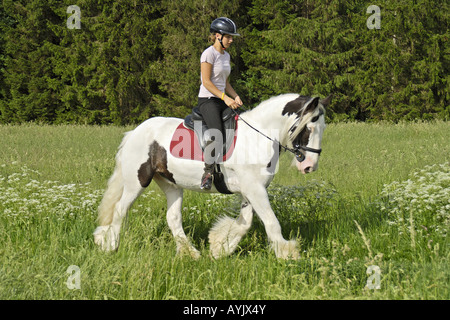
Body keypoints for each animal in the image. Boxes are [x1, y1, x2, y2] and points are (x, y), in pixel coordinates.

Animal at [94, 94, 330, 258]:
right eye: (309, 127)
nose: (309, 166)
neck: (257, 136)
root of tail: (135, 132)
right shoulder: (255, 189)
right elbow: (271, 222)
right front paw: (287, 254)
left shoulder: (251, 190)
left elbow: (245, 222)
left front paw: (219, 247)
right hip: (137, 181)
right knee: (120, 209)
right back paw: (110, 245)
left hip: (171, 184)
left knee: (173, 218)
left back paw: (190, 254)